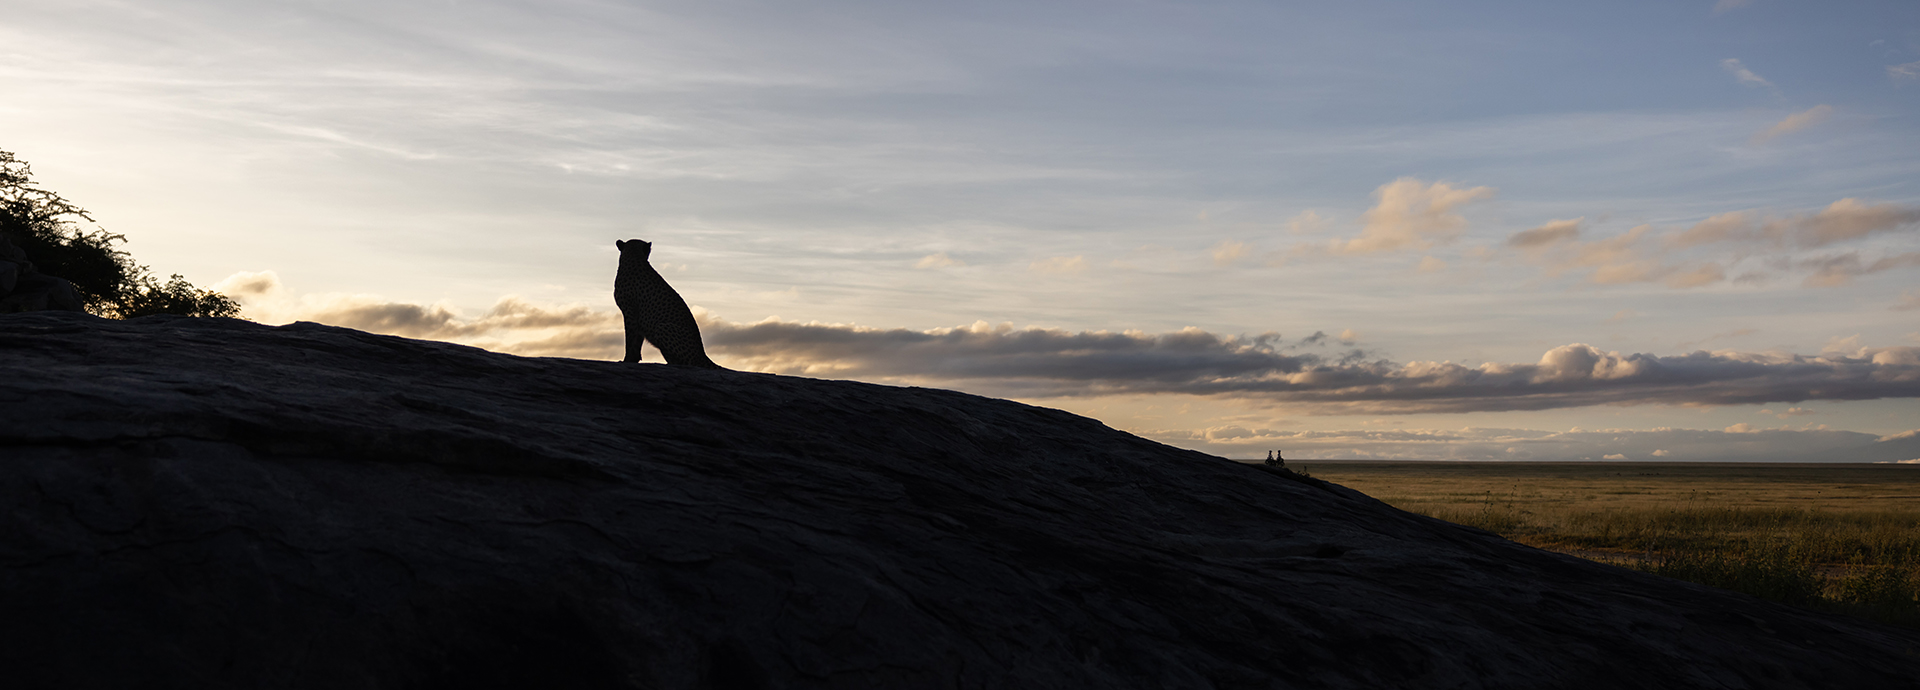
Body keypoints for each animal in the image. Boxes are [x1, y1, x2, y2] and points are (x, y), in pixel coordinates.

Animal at [613, 239, 723, 369]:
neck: (634, 257)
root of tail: (702, 354)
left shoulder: (630, 313)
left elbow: (630, 340)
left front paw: (627, 360)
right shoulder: (638, 319)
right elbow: (636, 341)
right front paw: (633, 359)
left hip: (661, 328)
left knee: (689, 363)